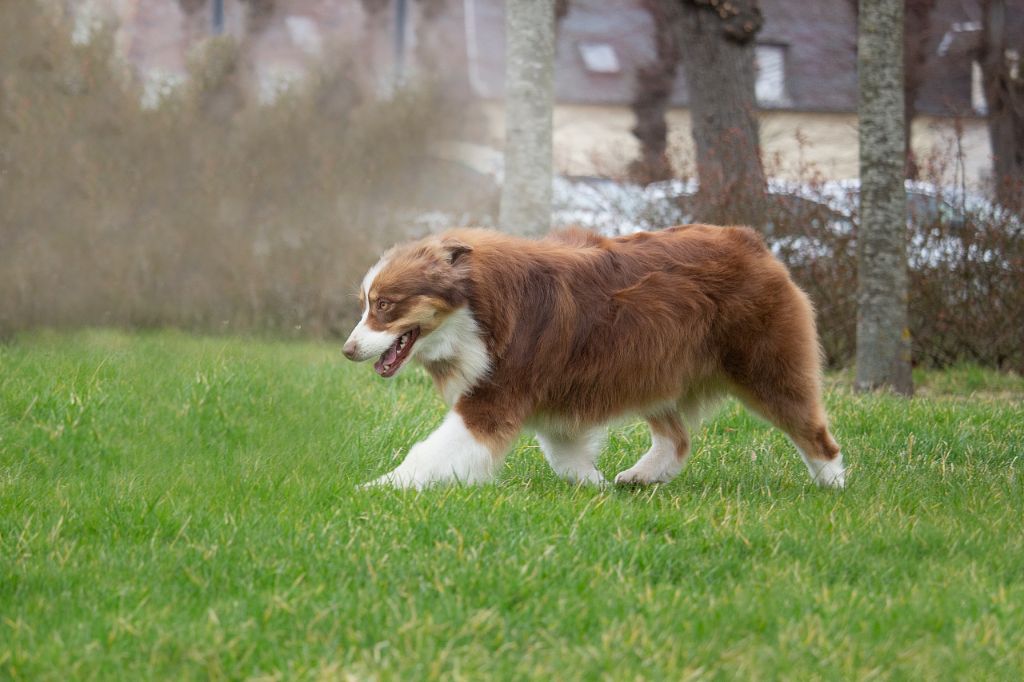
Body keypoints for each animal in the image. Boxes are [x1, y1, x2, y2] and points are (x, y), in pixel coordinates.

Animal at [339, 227, 843, 489]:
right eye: (365, 304)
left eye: (384, 305)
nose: (347, 350)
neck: (475, 308)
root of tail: (752, 241)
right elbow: (565, 454)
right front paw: (593, 487)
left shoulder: (495, 396)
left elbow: (430, 452)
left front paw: (373, 490)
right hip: (652, 367)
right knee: (676, 438)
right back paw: (641, 476)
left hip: (765, 366)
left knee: (814, 432)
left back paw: (832, 485)